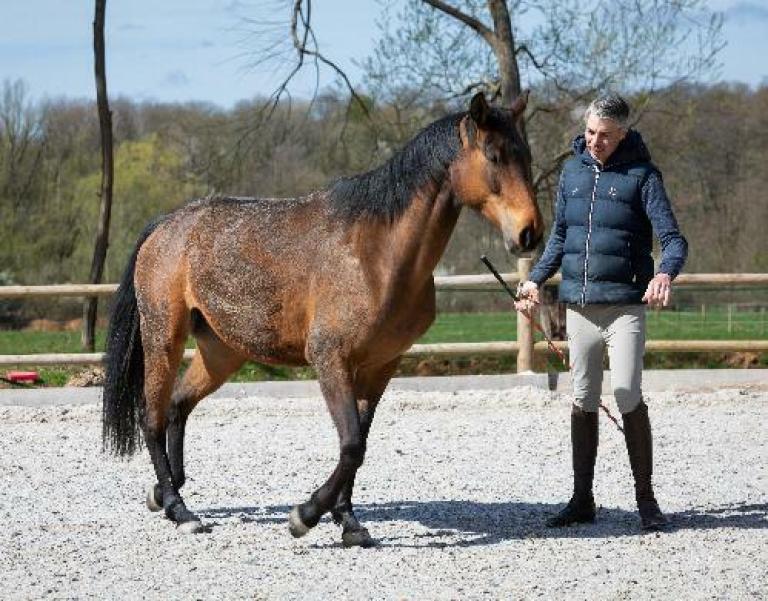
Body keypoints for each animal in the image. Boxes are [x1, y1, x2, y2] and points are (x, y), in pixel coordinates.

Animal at [102, 92, 543, 547]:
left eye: (526, 156)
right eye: (493, 155)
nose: (530, 233)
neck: (376, 255)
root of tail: (168, 225)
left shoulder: (380, 366)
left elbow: (359, 443)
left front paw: (348, 522)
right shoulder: (331, 359)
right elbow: (350, 445)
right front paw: (306, 515)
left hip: (221, 351)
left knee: (177, 407)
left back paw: (165, 491)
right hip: (163, 337)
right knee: (152, 417)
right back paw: (178, 508)